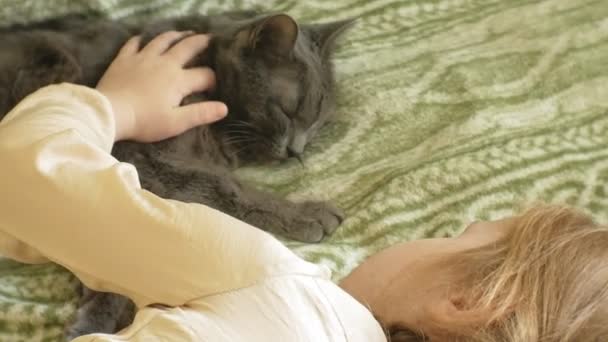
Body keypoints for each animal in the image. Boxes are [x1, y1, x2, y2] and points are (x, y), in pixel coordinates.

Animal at [0, 10, 354, 340]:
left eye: (317, 123)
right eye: (287, 111)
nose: (297, 151)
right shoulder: (136, 157)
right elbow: (223, 186)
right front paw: (308, 213)